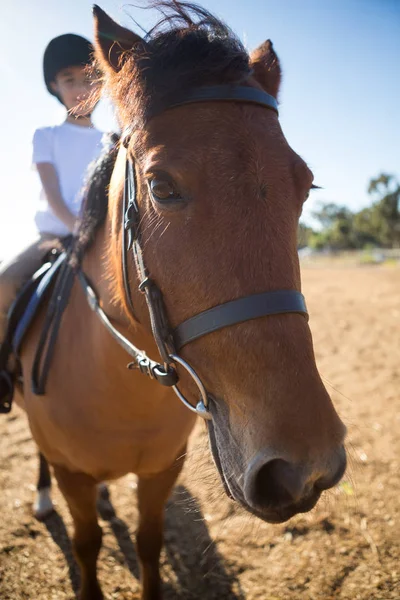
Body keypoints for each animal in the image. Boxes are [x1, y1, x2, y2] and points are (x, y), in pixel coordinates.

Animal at [14, 2, 346, 596]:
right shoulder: (73, 473)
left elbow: (149, 543)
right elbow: (87, 544)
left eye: (305, 185)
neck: (119, 382)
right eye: (161, 186)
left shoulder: (161, 471)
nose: (305, 467)